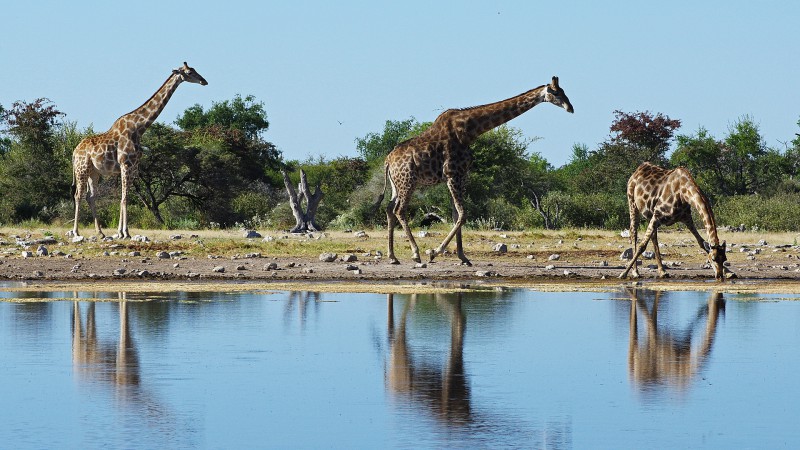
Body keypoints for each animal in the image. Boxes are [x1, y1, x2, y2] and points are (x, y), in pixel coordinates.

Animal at [69, 62, 206, 243]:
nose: (204, 81)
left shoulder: (133, 166)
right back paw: (76, 232)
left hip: (94, 172)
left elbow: (123, 197)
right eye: (190, 72)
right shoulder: (125, 165)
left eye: (196, 70)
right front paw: (125, 233)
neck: (139, 128)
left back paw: (100, 233)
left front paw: (120, 232)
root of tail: (74, 152)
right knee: (78, 195)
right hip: (82, 169)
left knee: (90, 196)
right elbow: (125, 198)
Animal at [378, 76, 572, 266]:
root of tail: (387, 161)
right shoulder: (453, 174)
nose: (570, 108)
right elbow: (463, 214)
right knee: (399, 211)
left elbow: (456, 214)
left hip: (397, 185)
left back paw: (393, 257)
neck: (469, 131)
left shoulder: (460, 176)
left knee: (389, 209)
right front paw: (435, 252)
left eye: (564, 91)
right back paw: (416, 254)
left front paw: (463, 257)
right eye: (556, 93)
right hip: (408, 182)